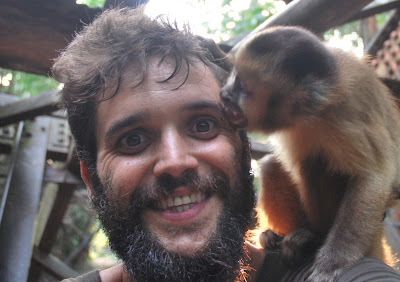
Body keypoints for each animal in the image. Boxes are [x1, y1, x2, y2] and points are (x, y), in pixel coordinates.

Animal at [220, 25, 400, 280]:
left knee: (315, 162)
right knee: (275, 165)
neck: (310, 113)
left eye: (243, 88)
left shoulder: (345, 115)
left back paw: (312, 237)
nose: (225, 94)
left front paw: (333, 262)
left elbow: (373, 176)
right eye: (233, 77)